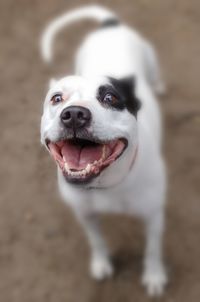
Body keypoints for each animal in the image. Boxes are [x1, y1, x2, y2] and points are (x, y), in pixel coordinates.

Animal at [40, 5, 167, 298]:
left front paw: (155, 276)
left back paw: (158, 85)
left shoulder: (154, 216)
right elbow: (96, 241)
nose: (74, 114)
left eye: (111, 98)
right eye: (56, 98)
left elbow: (153, 250)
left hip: (150, 59)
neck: (107, 183)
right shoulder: (85, 214)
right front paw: (100, 263)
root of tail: (111, 26)